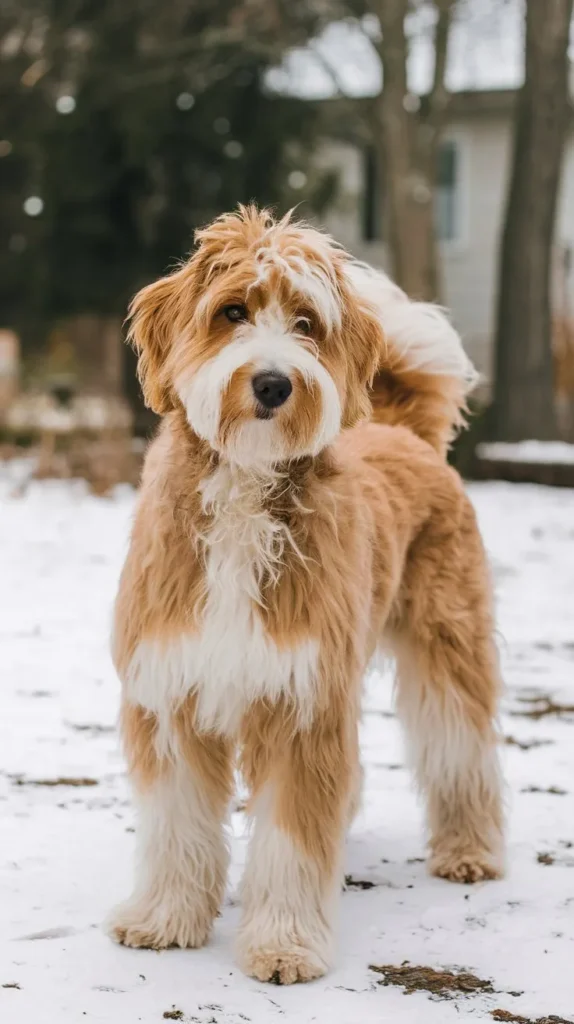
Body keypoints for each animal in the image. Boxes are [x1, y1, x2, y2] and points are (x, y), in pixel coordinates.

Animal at [107, 205, 501, 983]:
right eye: (232, 312)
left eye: (306, 323)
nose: (272, 385)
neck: (245, 488)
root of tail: (405, 432)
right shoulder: (170, 690)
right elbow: (176, 822)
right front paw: (164, 918)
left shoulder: (301, 701)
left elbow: (291, 838)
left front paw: (284, 943)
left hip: (448, 638)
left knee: (460, 742)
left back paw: (468, 851)